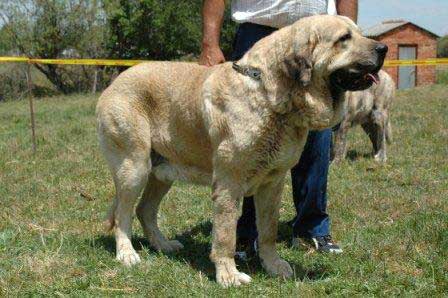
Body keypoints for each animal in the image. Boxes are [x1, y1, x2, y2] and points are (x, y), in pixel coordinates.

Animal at [96, 15, 386, 288]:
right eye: (344, 38)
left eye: (359, 33)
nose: (383, 48)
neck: (272, 96)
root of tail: (114, 82)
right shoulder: (229, 183)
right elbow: (225, 235)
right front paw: (228, 275)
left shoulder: (273, 183)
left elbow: (268, 230)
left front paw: (273, 265)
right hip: (134, 167)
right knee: (123, 214)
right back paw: (127, 254)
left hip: (161, 173)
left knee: (144, 210)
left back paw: (163, 245)